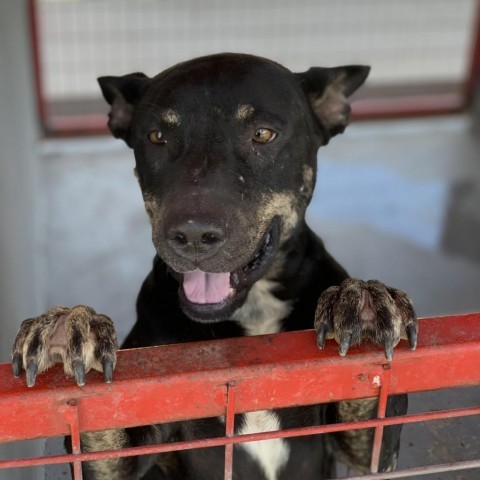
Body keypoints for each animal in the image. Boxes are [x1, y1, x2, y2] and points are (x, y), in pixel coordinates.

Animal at [10, 52, 416, 480]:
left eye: (262, 134)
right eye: (157, 137)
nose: (192, 235)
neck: (252, 313)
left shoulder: (369, 448)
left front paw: (364, 298)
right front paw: (68, 325)